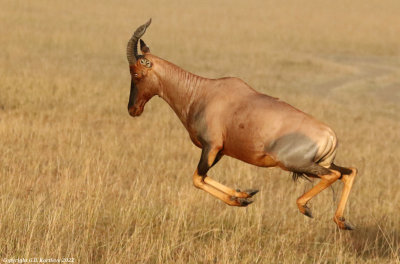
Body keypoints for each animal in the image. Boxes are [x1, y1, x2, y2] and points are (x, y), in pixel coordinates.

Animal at [125, 19, 356, 229]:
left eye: (135, 73)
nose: (132, 109)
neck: (201, 92)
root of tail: (331, 136)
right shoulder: (219, 151)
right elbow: (204, 177)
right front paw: (244, 194)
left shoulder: (211, 146)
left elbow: (197, 179)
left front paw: (239, 200)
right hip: (320, 164)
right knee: (349, 172)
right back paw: (342, 221)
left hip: (297, 164)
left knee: (335, 175)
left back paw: (305, 207)